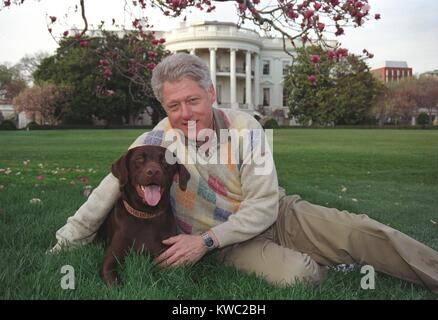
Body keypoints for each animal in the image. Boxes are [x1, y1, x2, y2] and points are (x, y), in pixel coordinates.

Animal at [98, 145, 190, 284]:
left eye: (165, 161)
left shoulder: (166, 257)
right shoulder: (110, 259)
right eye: (139, 159)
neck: (146, 215)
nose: (153, 171)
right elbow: (114, 281)